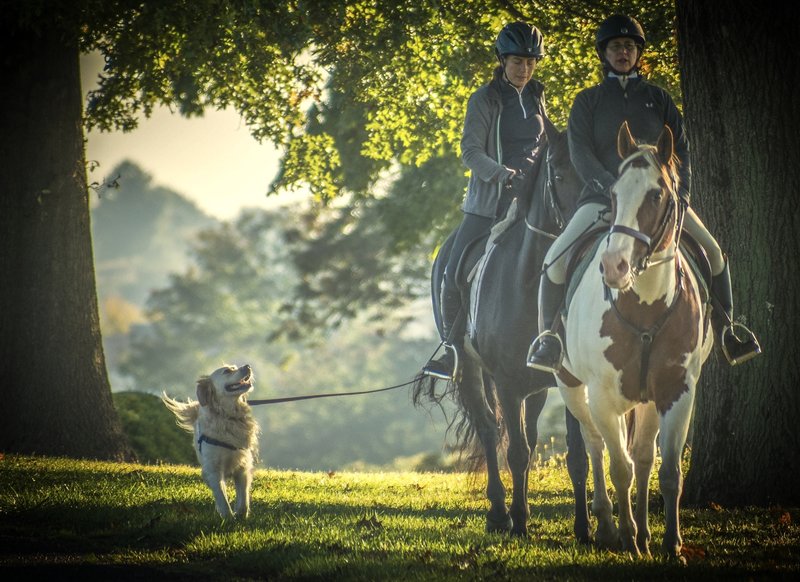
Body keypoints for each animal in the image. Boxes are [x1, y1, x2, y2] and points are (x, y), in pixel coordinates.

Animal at [162, 364, 260, 520]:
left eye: (234, 367)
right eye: (227, 371)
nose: (247, 366)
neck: (228, 417)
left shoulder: (243, 466)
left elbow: (243, 498)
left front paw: (240, 515)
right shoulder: (214, 470)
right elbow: (222, 497)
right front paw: (228, 518)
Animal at [416, 125, 584, 540]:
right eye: (557, 174)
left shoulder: (565, 380)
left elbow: (576, 455)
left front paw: (585, 529)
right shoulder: (507, 382)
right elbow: (516, 453)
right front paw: (519, 524)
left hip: (535, 386)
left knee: (529, 433)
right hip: (472, 372)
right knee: (490, 430)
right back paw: (498, 513)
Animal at [556, 123, 712, 560]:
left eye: (657, 194)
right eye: (612, 193)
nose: (614, 267)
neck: (643, 305)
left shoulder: (678, 391)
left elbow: (667, 470)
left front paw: (670, 543)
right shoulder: (602, 396)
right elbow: (618, 466)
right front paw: (626, 537)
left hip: (646, 399)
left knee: (643, 457)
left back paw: (643, 531)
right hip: (571, 387)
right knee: (594, 448)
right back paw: (608, 527)